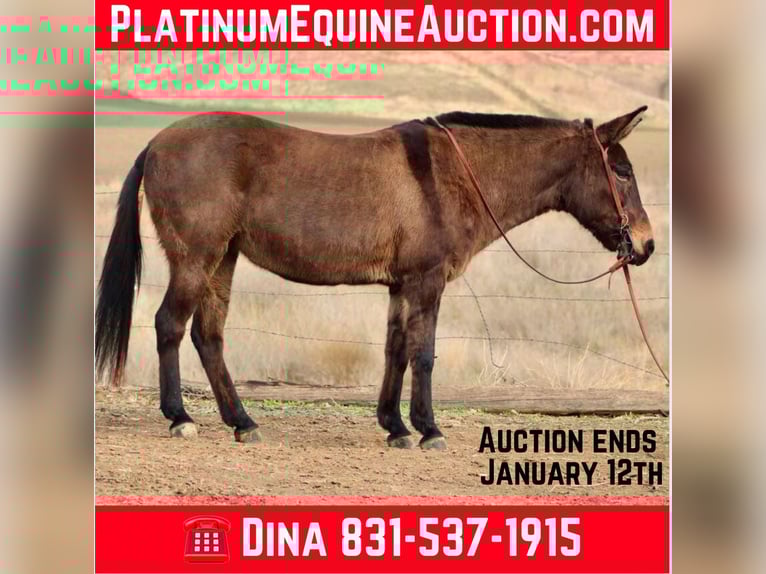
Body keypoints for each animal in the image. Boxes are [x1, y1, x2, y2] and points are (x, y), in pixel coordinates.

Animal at [95, 106, 656, 449]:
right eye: (622, 171)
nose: (646, 245)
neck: (452, 174)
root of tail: (157, 143)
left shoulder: (402, 286)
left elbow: (396, 351)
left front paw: (395, 426)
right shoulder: (427, 282)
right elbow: (424, 354)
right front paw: (428, 429)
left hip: (223, 260)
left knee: (207, 336)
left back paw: (242, 422)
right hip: (196, 259)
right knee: (169, 326)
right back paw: (180, 418)